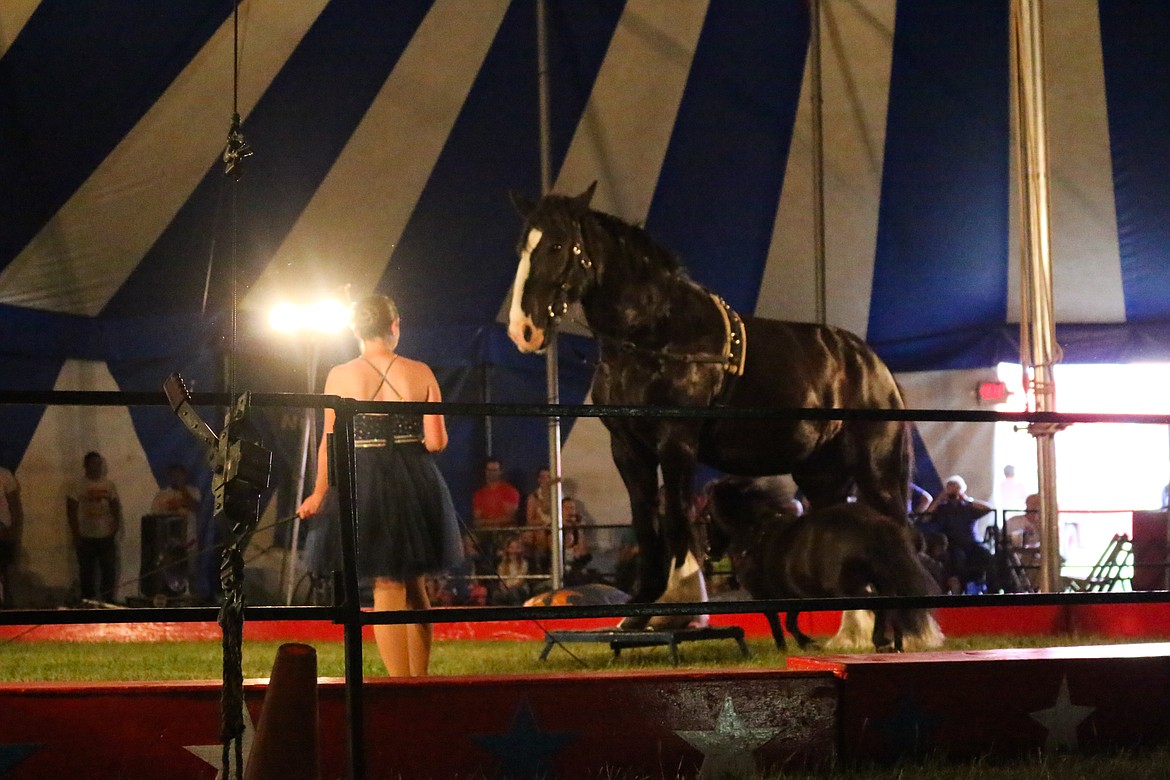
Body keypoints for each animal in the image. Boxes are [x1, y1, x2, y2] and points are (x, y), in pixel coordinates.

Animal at [507, 183, 907, 626]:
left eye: (557, 245)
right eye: (522, 247)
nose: (523, 330)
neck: (655, 337)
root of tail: (872, 363)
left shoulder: (677, 444)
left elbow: (678, 520)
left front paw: (680, 604)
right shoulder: (628, 448)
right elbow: (646, 521)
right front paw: (640, 610)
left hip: (878, 472)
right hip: (823, 478)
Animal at [697, 477, 935, 654]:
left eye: (706, 516)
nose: (709, 552)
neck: (754, 534)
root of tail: (874, 522)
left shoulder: (763, 595)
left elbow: (778, 622)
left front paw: (790, 646)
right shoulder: (794, 596)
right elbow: (791, 622)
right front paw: (805, 643)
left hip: (848, 589)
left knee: (879, 603)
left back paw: (881, 641)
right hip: (880, 580)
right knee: (893, 604)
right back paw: (897, 644)